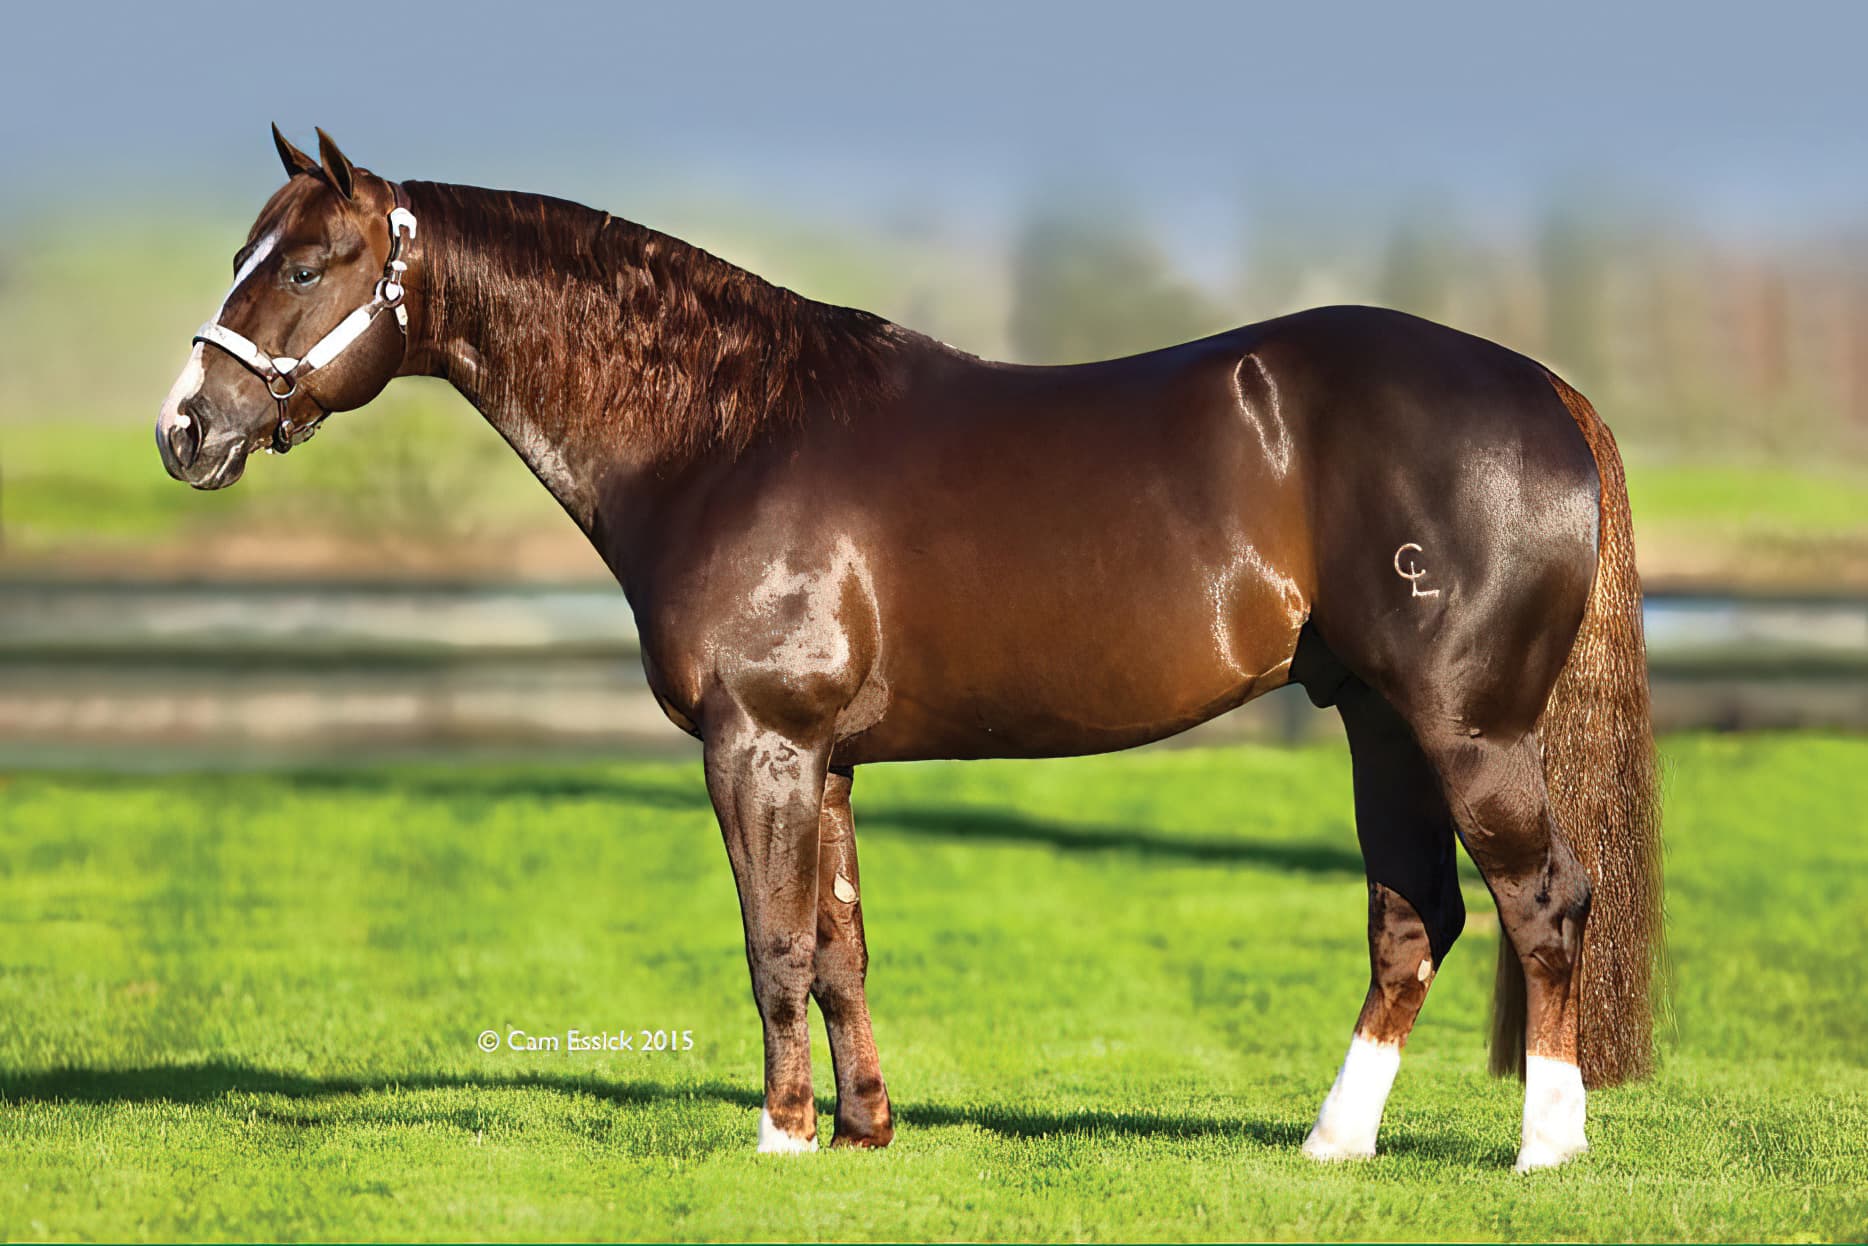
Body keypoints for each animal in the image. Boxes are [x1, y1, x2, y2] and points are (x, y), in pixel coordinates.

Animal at [155, 128, 1662, 1171]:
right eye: (240, 257)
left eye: (306, 265)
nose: (184, 429)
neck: (727, 431)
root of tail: (1544, 386)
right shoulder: (823, 759)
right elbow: (840, 950)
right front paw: (864, 1131)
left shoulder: (757, 744)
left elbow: (770, 942)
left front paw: (777, 1140)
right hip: (1376, 720)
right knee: (1416, 918)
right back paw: (1333, 1145)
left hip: (1466, 726)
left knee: (1544, 900)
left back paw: (1544, 1148)